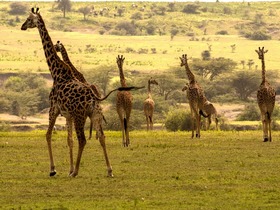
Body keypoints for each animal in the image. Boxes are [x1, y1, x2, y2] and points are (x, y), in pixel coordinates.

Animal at [21, 7, 142, 176]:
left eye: (28, 19)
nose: (22, 26)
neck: (56, 72)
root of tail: (94, 97)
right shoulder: (67, 114)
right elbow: (69, 140)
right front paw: (66, 168)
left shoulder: (54, 109)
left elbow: (48, 135)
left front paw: (53, 169)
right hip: (95, 114)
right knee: (102, 136)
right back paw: (109, 170)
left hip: (81, 116)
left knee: (83, 139)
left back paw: (76, 172)